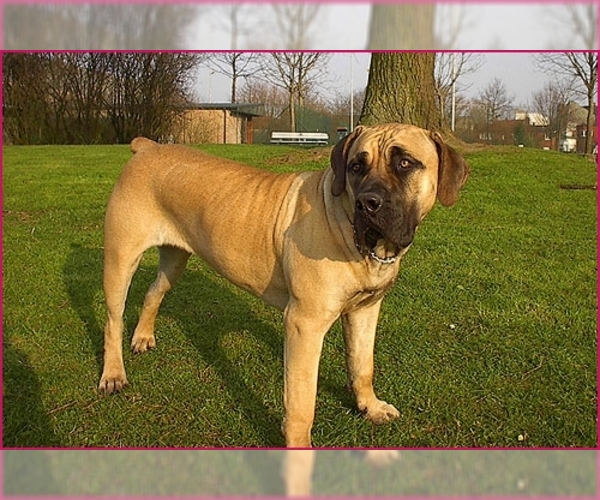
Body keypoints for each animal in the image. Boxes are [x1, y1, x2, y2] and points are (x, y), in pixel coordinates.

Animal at [99, 123, 468, 448]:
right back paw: (113, 374)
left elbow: (362, 366)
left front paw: (370, 407)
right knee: (113, 320)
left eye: (405, 163)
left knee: (153, 292)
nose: (368, 202)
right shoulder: (305, 324)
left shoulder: (365, 311)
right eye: (356, 167)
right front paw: (299, 452)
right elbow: (302, 403)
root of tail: (147, 147)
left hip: (176, 259)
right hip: (121, 259)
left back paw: (143, 337)